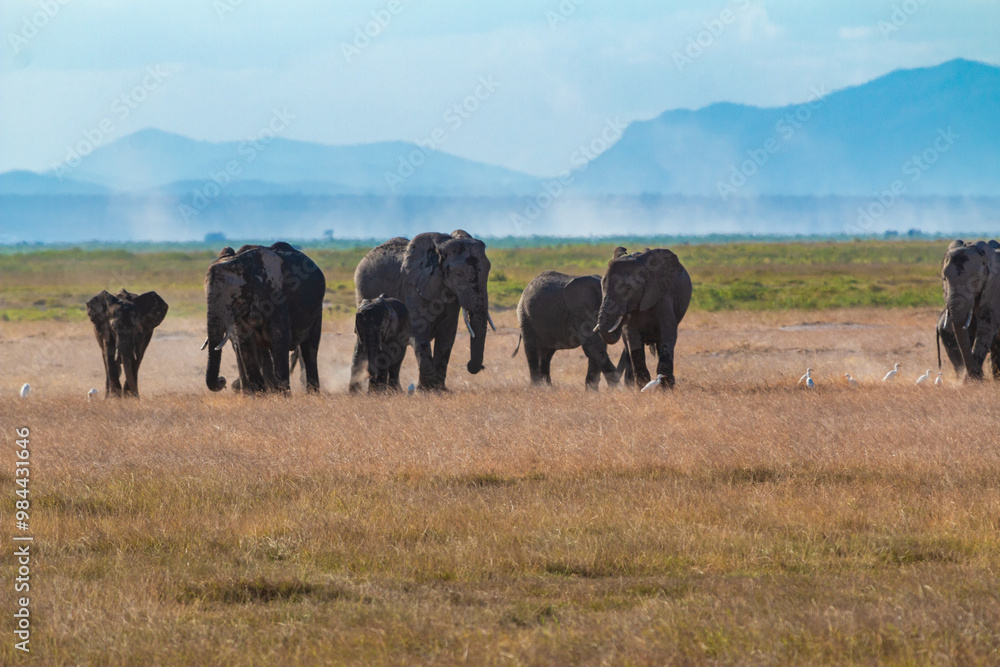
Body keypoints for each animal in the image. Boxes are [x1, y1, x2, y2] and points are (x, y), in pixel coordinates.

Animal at [204, 243, 325, 394]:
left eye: (234, 296)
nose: (222, 381)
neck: (242, 263)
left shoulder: (277, 298)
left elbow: (280, 338)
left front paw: (282, 395)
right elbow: (245, 342)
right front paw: (260, 394)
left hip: (317, 308)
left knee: (310, 349)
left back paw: (312, 394)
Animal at [354, 230, 493, 391]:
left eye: (488, 269)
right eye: (458, 275)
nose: (472, 365)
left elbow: (447, 337)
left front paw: (440, 390)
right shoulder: (413, 288)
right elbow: (419, 332)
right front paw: (425, 390)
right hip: (363, 292)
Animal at [594, 246, 692, 389]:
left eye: (628, 289)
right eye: (602, 287)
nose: (623, 315)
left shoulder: (664, 295)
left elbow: (668, 333)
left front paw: (666, 388)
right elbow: (632, 338)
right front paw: (642, 387)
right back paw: (631, 385)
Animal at [940, 239, 1000, 381]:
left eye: (976, 281)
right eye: (944, 279)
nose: (980, 374)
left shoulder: (993, 291)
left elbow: (986, 327)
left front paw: (974, 378)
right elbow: (966, 331)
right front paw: (969, 379)